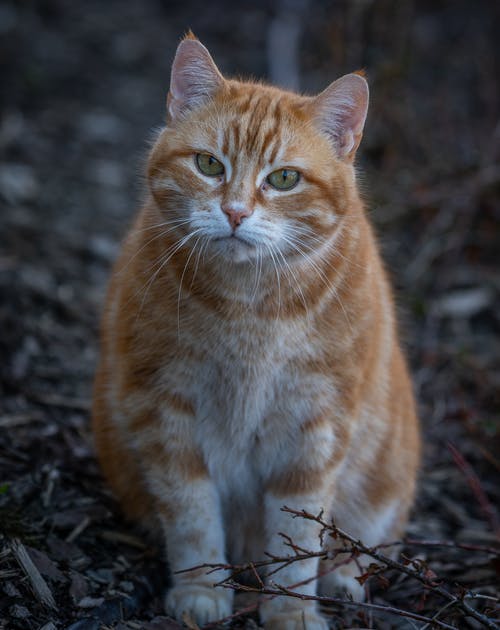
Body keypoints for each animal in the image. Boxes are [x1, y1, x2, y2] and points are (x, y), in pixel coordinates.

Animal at [93, 35, 418, 630]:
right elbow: (192, 514)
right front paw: (202, 591)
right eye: (208, 164)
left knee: (360, 544)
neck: (250, 311)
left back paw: (343, 580)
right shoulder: (163, 407)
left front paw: (291, 611)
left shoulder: (317, 426)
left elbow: (299, 533)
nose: (235, 212)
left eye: (284, 178)